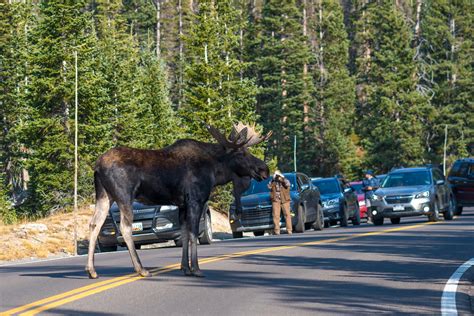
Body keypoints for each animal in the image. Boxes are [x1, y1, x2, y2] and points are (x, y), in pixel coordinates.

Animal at [84, 122, 270, 278]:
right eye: (242, 154)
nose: (265, 169)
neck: (215, 171)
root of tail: (97, 166)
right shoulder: (195, 200)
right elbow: (193, 234)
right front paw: (196, 269)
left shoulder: (182, 205)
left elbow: (184, 234)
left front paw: (185, 268)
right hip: (124, 196)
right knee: (125, 227)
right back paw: (141, 269)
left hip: (104, 195)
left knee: (94, 224)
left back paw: (91, 270)